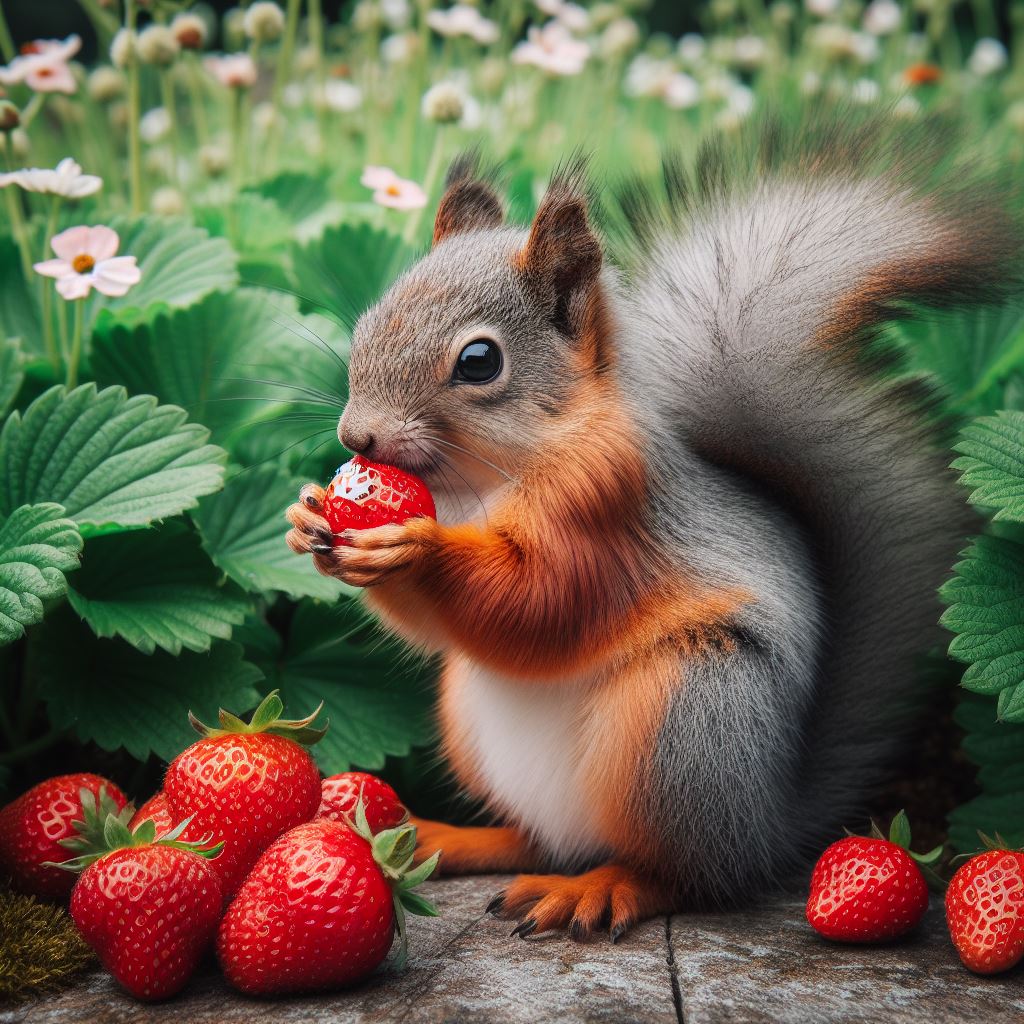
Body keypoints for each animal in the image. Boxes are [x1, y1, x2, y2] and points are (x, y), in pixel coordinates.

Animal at [286, 116, 1020, 942]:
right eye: (369, 321)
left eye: (478, 361)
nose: (357, 438)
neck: (473, 488)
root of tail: (766, 827)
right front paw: (308, 517)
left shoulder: (608, 515)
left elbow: (539, 602)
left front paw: (413, 550)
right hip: (480, 725)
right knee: (541, 839)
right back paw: (449, 838)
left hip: (688, 720)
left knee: (686, 875)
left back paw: (601, 887)